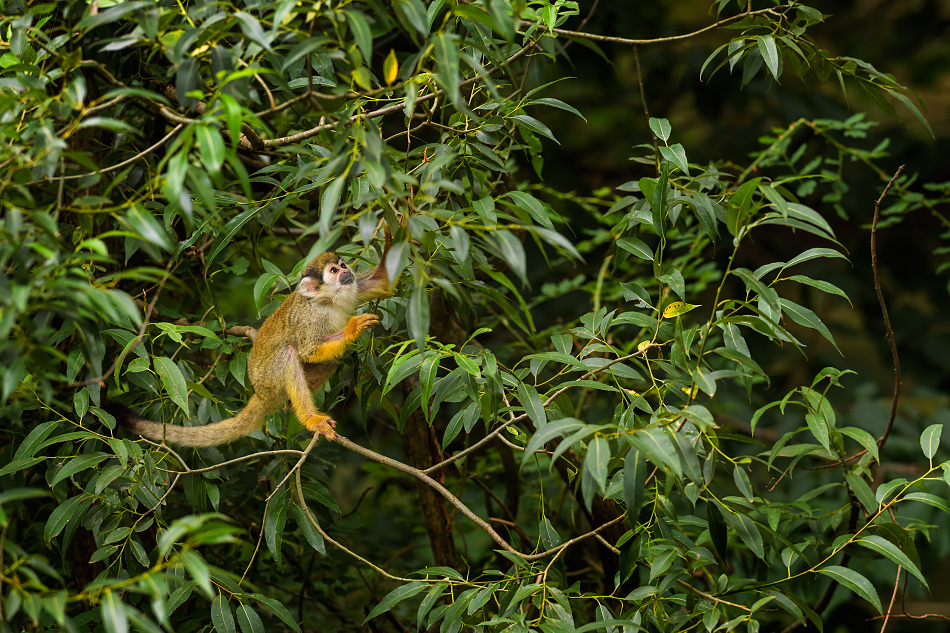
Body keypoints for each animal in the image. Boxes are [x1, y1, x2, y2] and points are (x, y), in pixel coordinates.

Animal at [111, 235, 394, 446]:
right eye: (333, 271)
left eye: (343, 266)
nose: (346, 271)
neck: (329, 300)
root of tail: (258, 392)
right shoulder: (311, 317)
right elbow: (308, 350)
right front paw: (352, 329)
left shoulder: (353, 289)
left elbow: (381, 283)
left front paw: (394, 233)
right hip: (268, 380)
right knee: (290, 353)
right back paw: (310, 417)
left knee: (331, 359)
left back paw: (292, 404)